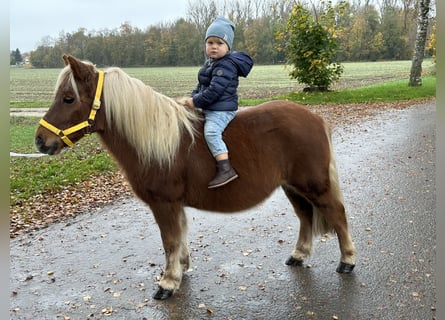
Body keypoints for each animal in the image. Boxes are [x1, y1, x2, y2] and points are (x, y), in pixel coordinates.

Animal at [34, 55, 356, 300]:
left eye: (68, 98)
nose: (40, 141)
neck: (155, 140)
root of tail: (314, 118)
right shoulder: (174, 205)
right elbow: (179, 237)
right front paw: (181, 269)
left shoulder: (164, 203)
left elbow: (169, 240)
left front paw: (168, 282)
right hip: (292, 186)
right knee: (305, 216)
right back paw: (299, 255)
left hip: (314, 185)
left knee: (337, 214)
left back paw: (347, 261)